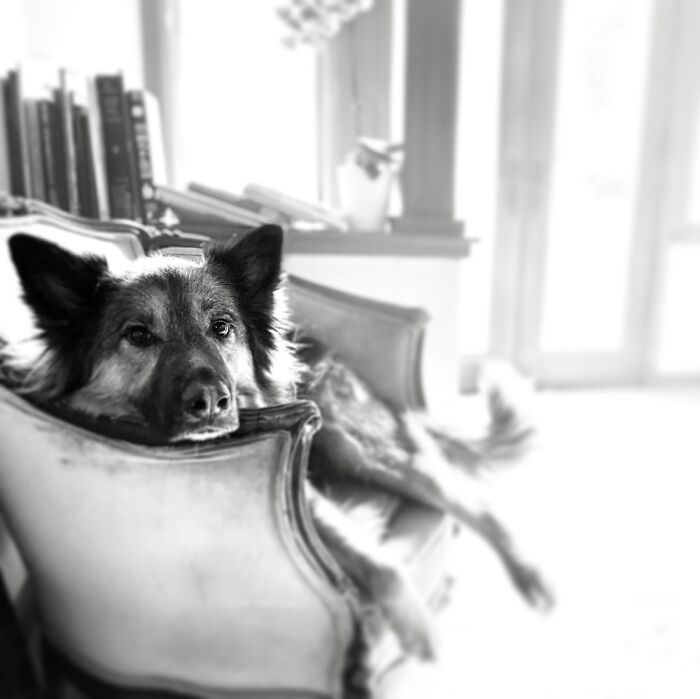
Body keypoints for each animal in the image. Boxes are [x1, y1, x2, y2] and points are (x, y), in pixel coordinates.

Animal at [2, 225, 553, 660]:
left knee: (470, 499)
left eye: (222, 327)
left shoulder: (306, 491)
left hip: (353, 445)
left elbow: (380, 563)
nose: (211, 401)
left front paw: (419, 631)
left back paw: (531, 576)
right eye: (138, 335)